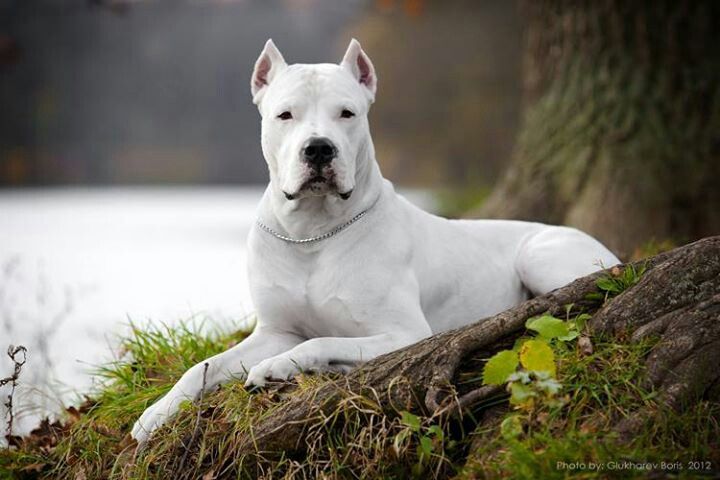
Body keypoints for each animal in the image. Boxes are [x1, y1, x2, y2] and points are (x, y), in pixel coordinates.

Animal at [131, 39, 620, 444]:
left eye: (346, 113)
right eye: (285, 115)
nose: (319, 149)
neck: (312, 234)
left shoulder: (404, 333)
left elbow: (319, 342)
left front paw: (280, 367)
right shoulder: (275, 330)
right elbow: (202, 367)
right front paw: (155, 415)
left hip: (539, 254)